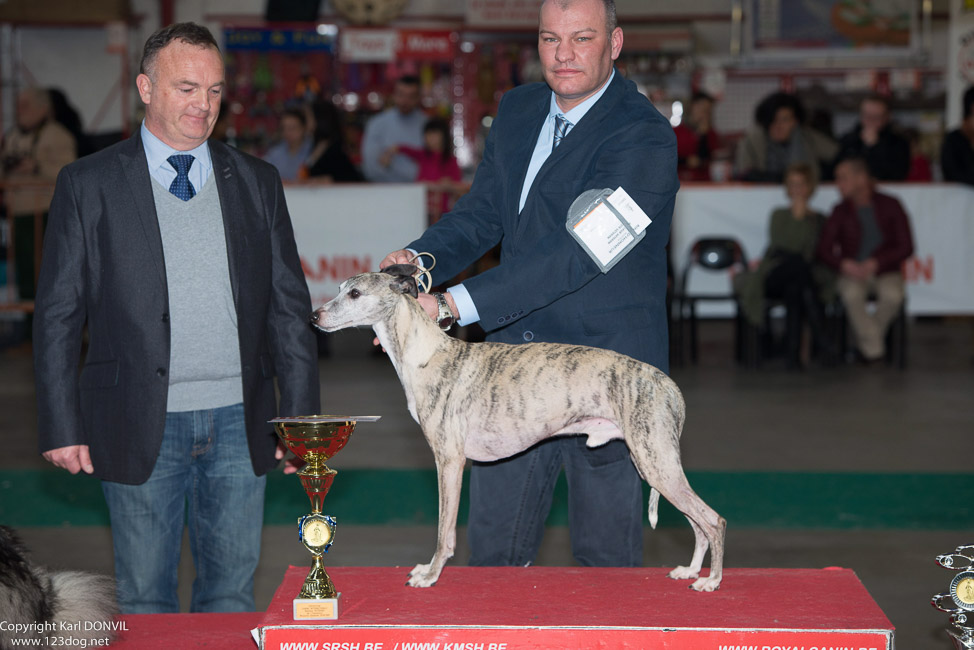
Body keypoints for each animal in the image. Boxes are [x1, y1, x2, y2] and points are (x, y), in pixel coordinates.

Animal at [312, 264, 724, 592]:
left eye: (355, 293)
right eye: (339, 288)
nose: (314, 317)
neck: (427, 354)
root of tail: (668, 386)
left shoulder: (449, 461)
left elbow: (445, 532)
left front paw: (430, 575)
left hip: (657, 463)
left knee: (713, 520)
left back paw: (712, 581)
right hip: (654, 464)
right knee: (697, 523)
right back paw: (690, 571)